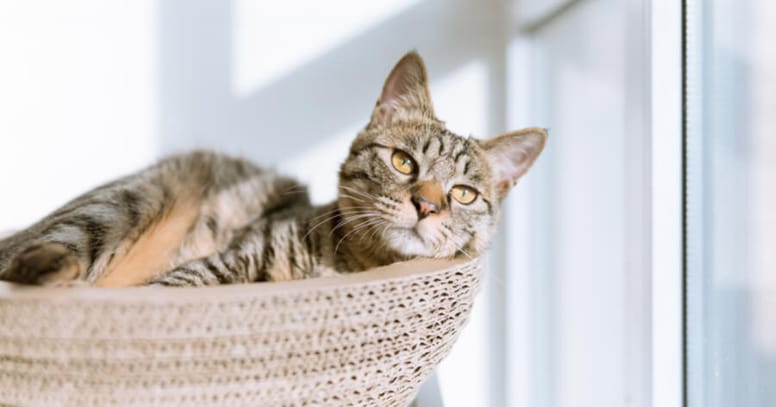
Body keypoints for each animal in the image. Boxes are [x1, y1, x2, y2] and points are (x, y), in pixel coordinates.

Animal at [0, 52, 544, 288]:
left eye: (465, 193)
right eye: (403, 161)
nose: (427, 205)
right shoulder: (216, 264)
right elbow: (174, 287)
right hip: (123, 203)